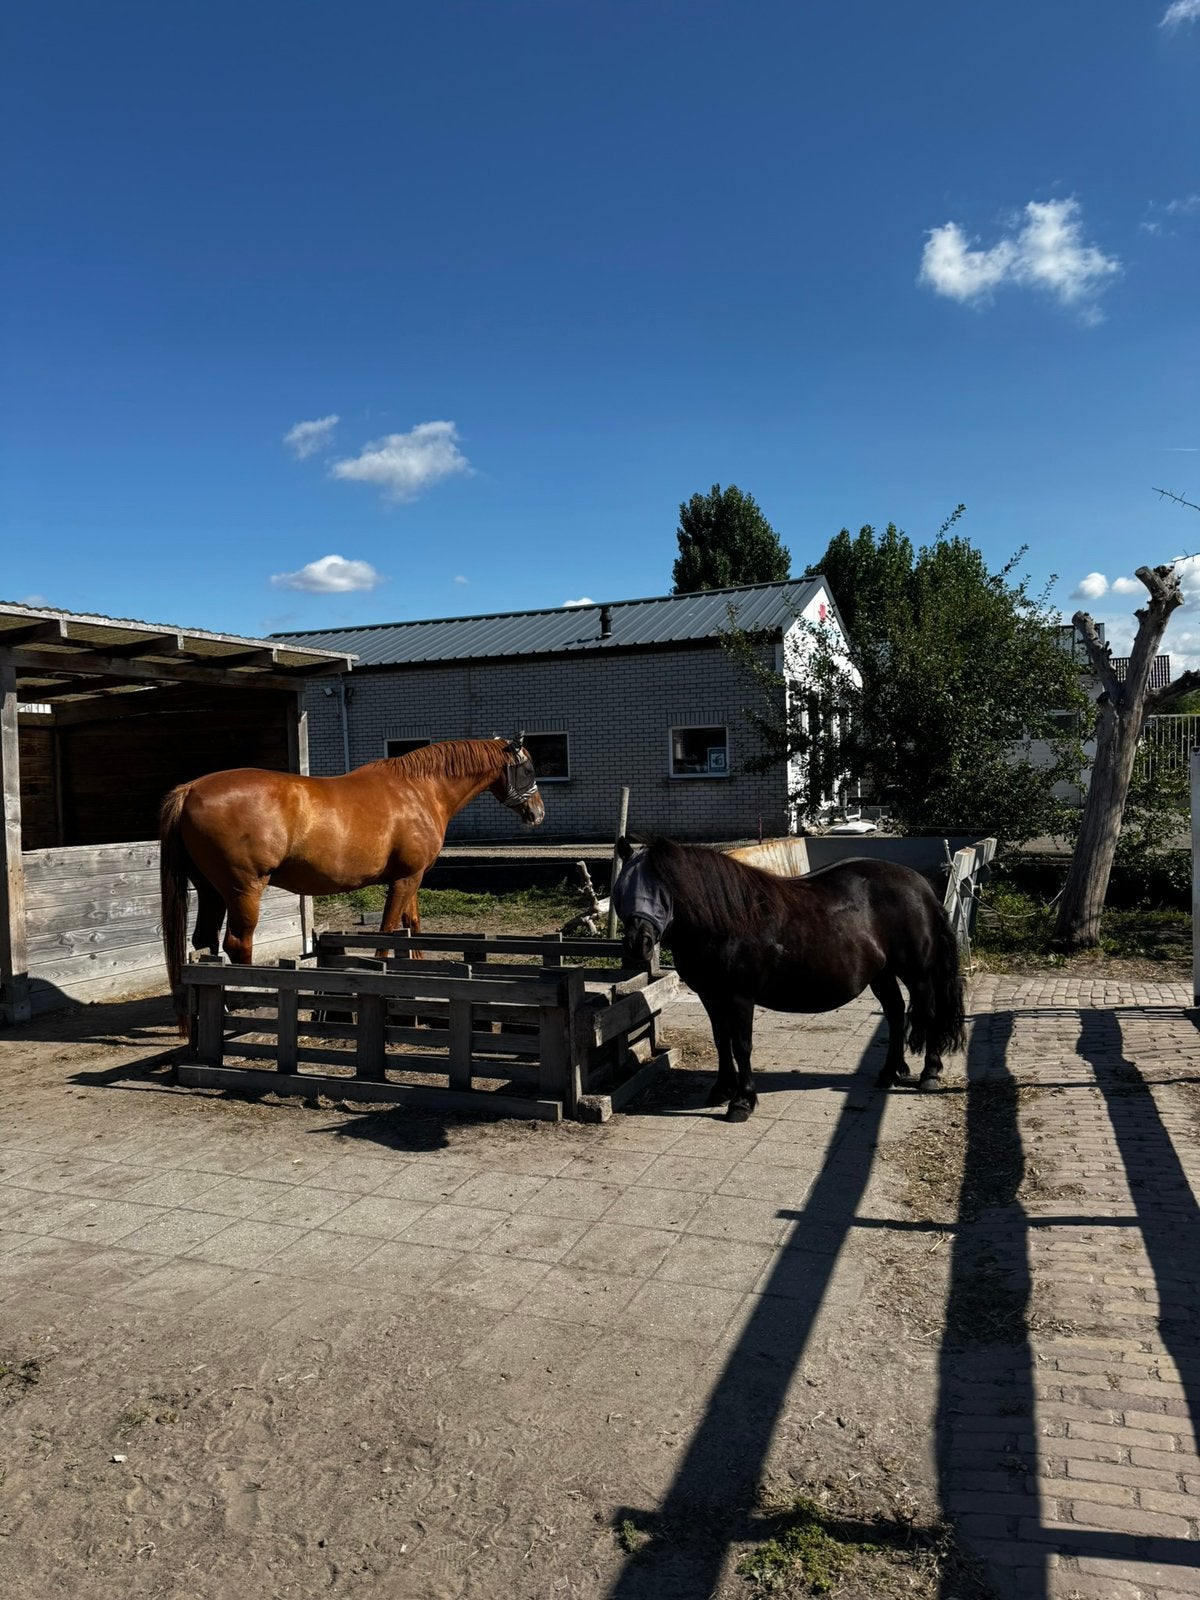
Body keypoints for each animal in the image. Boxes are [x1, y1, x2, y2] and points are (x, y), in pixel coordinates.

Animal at [160, 735, 543, 1030]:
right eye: (527, 768)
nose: (537, 813)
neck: (418, 790)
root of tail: (190, 789)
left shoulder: (411, 877)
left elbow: (412, 926)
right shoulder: (406, 879)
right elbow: (389, 931)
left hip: (211, 890)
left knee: (206, 941)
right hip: (244, 890)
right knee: (238, 943)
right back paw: (244, 998)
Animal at [611, 836, 965, 1122]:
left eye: (661, 889)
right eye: (622, 889)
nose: (639, 943)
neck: (722, 921)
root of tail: (921, 887)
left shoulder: (740, 997)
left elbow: (741, 1045)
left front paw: (742, 1101)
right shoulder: (711, 996)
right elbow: (721, 1040)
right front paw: (722, 1089)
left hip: (918, 974)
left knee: (928, 1014)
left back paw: (929, 1073)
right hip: (882, 973)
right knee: (894, 1012)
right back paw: (890, 1072)